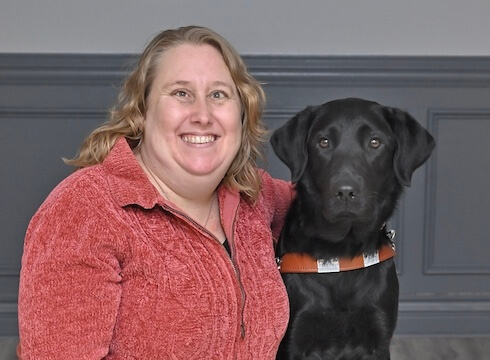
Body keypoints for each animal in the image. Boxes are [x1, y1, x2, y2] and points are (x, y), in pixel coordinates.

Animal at [272, 98, 436, 360]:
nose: (345, 191)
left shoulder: (378, 342)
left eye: (375, 142)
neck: (342, 255)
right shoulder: (295, 343)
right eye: (323, 142)